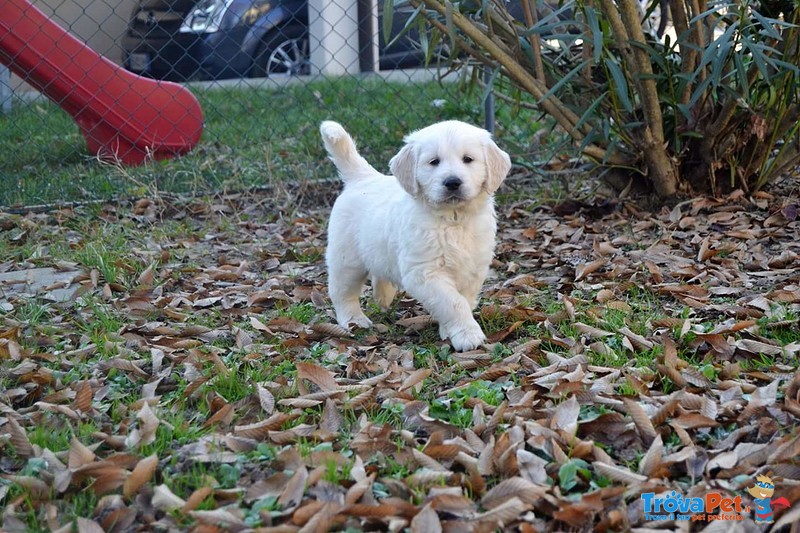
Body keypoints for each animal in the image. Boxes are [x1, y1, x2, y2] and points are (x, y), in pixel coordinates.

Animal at [322, 122, 510, 352]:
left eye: (468, 159)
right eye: (434, 162)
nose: (452, 182)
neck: (452, 219)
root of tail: (362, 177)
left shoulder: (474, 268)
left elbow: (464, 299)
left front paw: (450, 330)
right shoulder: (424, 272)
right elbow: (453, 302)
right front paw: (467, 334)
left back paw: (383, 296)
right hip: (346, 259)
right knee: (342, 292)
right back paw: (353, 319)